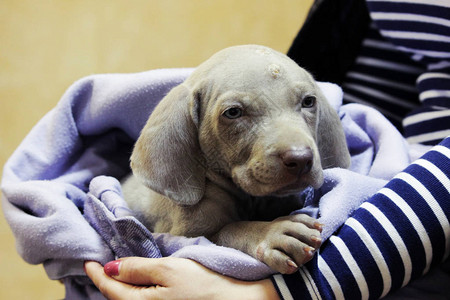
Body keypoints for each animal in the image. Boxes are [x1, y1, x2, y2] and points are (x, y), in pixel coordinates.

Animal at [121, 45, 350, 274]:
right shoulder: (184, 234)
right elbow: (230, 231)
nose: (301, 160)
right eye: (233, 112)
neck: (250, 200)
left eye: (308, 101)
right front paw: (273, 232)